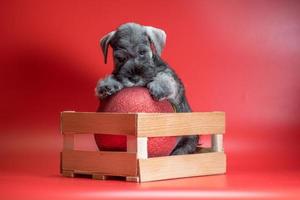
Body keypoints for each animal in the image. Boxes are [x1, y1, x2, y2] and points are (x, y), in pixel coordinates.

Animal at [95, 23, 198, 155]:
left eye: (142, 52)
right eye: (120, 58)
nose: (134, 78)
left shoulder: (175, 89)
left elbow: (166, 77)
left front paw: (159, 87)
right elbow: (114, 76)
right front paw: (106, 85)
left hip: (187, 141)